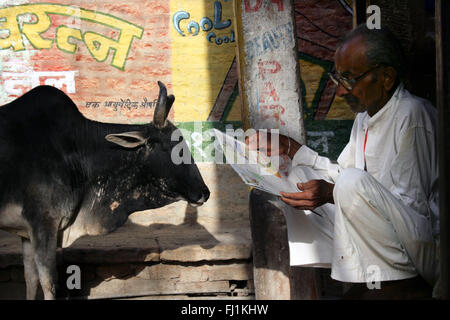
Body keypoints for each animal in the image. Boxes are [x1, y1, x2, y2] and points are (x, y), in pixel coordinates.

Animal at [0, 82, 210, 300]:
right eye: (178, 149)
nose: (204, 192)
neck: (76, 149)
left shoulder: (27, 233)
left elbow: (31, 280)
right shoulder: (44, 223)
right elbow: (48, 283)